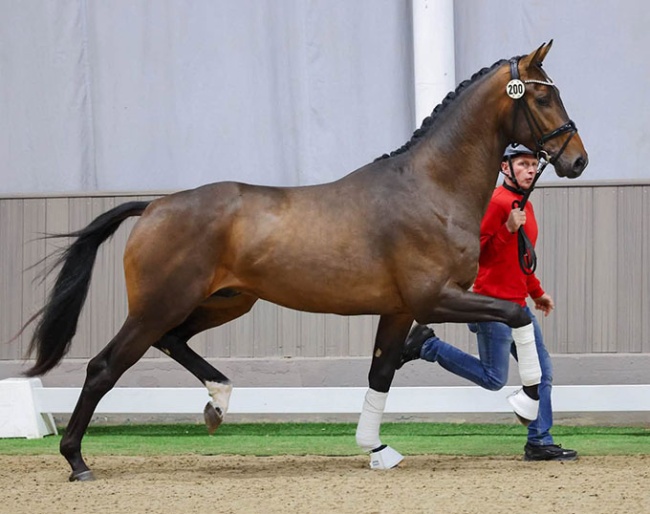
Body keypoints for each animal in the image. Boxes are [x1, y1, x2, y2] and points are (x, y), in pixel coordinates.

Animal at [21, 40, 587, 481]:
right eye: (542, 94)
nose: (578, 159)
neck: (429, 189)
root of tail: (156, 205)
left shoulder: (400, 310)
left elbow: (381, 372)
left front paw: (377, 449)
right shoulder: (435, 299)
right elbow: (516, 313)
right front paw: (525, 401)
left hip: (226, 302)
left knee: (172, 341)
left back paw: (217, 402)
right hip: (158, 306)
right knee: (104, 367)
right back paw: (77, 461)